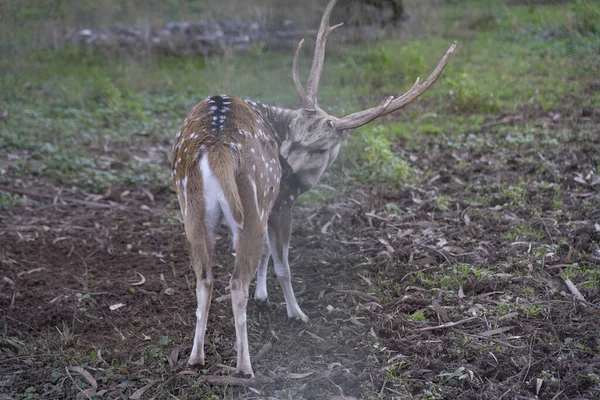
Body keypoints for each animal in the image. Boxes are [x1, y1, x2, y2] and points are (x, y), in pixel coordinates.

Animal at [169, 0, 454, 378]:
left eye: (319, 146)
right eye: (293, 135)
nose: (285, 168)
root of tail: (217, 145)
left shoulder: (272, 206)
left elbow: (267, 255)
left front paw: (264, 295)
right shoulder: (281, 203)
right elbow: (282, 263)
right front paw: (295, 312)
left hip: (192, 207)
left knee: (204, 278)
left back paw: (196, 356)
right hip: (251, 205)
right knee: (234, 282)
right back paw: (245, 365)